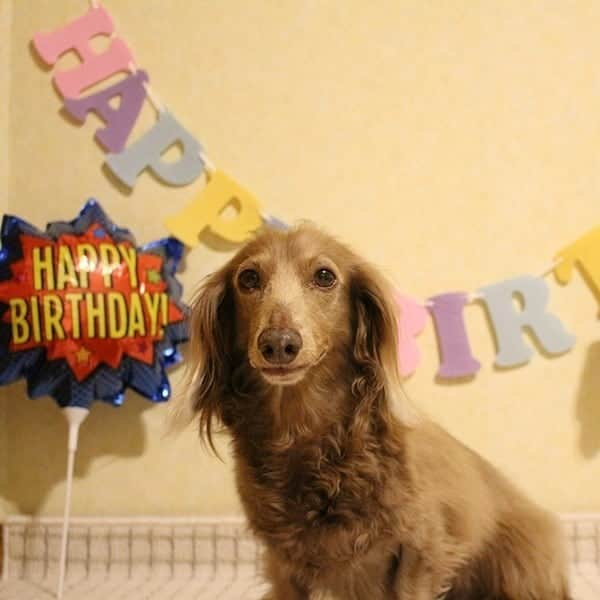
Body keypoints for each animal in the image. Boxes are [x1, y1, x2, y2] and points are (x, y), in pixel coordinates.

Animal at [177, 225, 572, 600]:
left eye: (324, 275)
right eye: (248, 278)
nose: (278, 343)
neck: (305, 433)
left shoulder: (420, 551)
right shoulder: (285, 564)